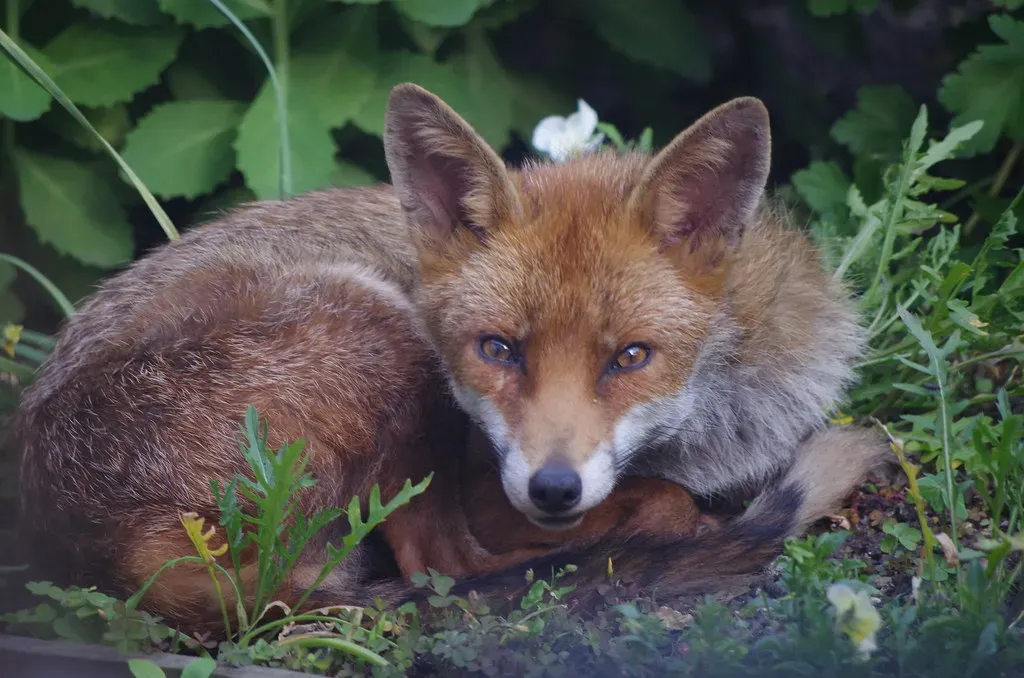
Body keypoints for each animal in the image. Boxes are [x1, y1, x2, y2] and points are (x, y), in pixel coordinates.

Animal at [13, 83, 889, 634]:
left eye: (631, 357)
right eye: (497, 349)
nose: (554, 488)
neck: (708, 432)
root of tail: (81, 536)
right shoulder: (483, 485)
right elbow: (657, 503)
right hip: (383, 335)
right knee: (445, 569)